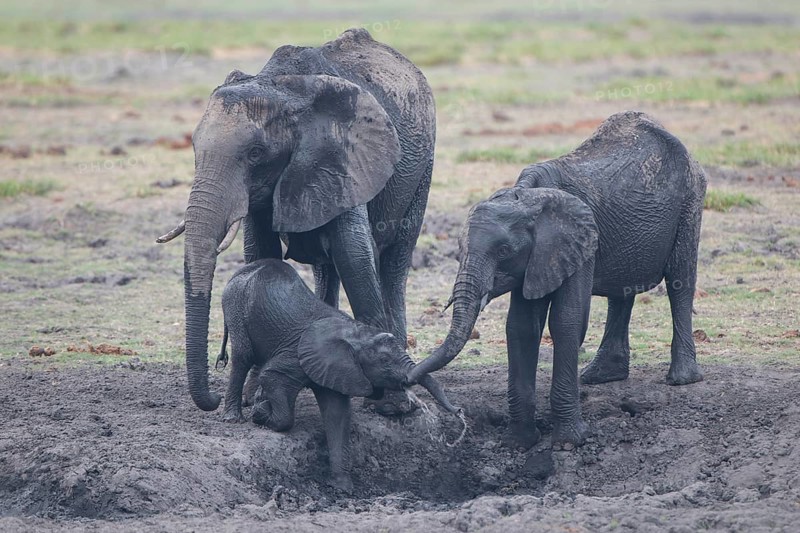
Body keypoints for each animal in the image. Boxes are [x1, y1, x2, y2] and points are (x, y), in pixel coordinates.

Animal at [156, 29, 436, 415]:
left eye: (256, 153)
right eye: (195, 149)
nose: (211, 399)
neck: (281, 88)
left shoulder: (344, 159)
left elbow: (355, 257)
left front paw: (392, 403)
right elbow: (261, 253)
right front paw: (253, 394)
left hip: (422, 171)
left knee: (394, 262)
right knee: (325, 268)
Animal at [220, 259, 459, 491]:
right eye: (384, 361)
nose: (459, 412)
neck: (356, 334)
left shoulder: (339, 369)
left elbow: (338, 414)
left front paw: (342, 488)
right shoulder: (297, 355)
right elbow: (272, 377)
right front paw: (260, 414)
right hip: (234, 305)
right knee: (242, 356)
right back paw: (234, 417)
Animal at [408, 111, 706, 449]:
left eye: (504, 251)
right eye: (458, 251)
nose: (456, 414)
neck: (527, 198)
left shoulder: (580, 242)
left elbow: (567, 321)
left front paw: (569, 442)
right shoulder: (537, 260)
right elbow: (521, 326)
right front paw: (519, 441)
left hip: (691, 201)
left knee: (680, 282)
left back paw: (682, 378)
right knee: (622, 292)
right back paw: (600, 376)